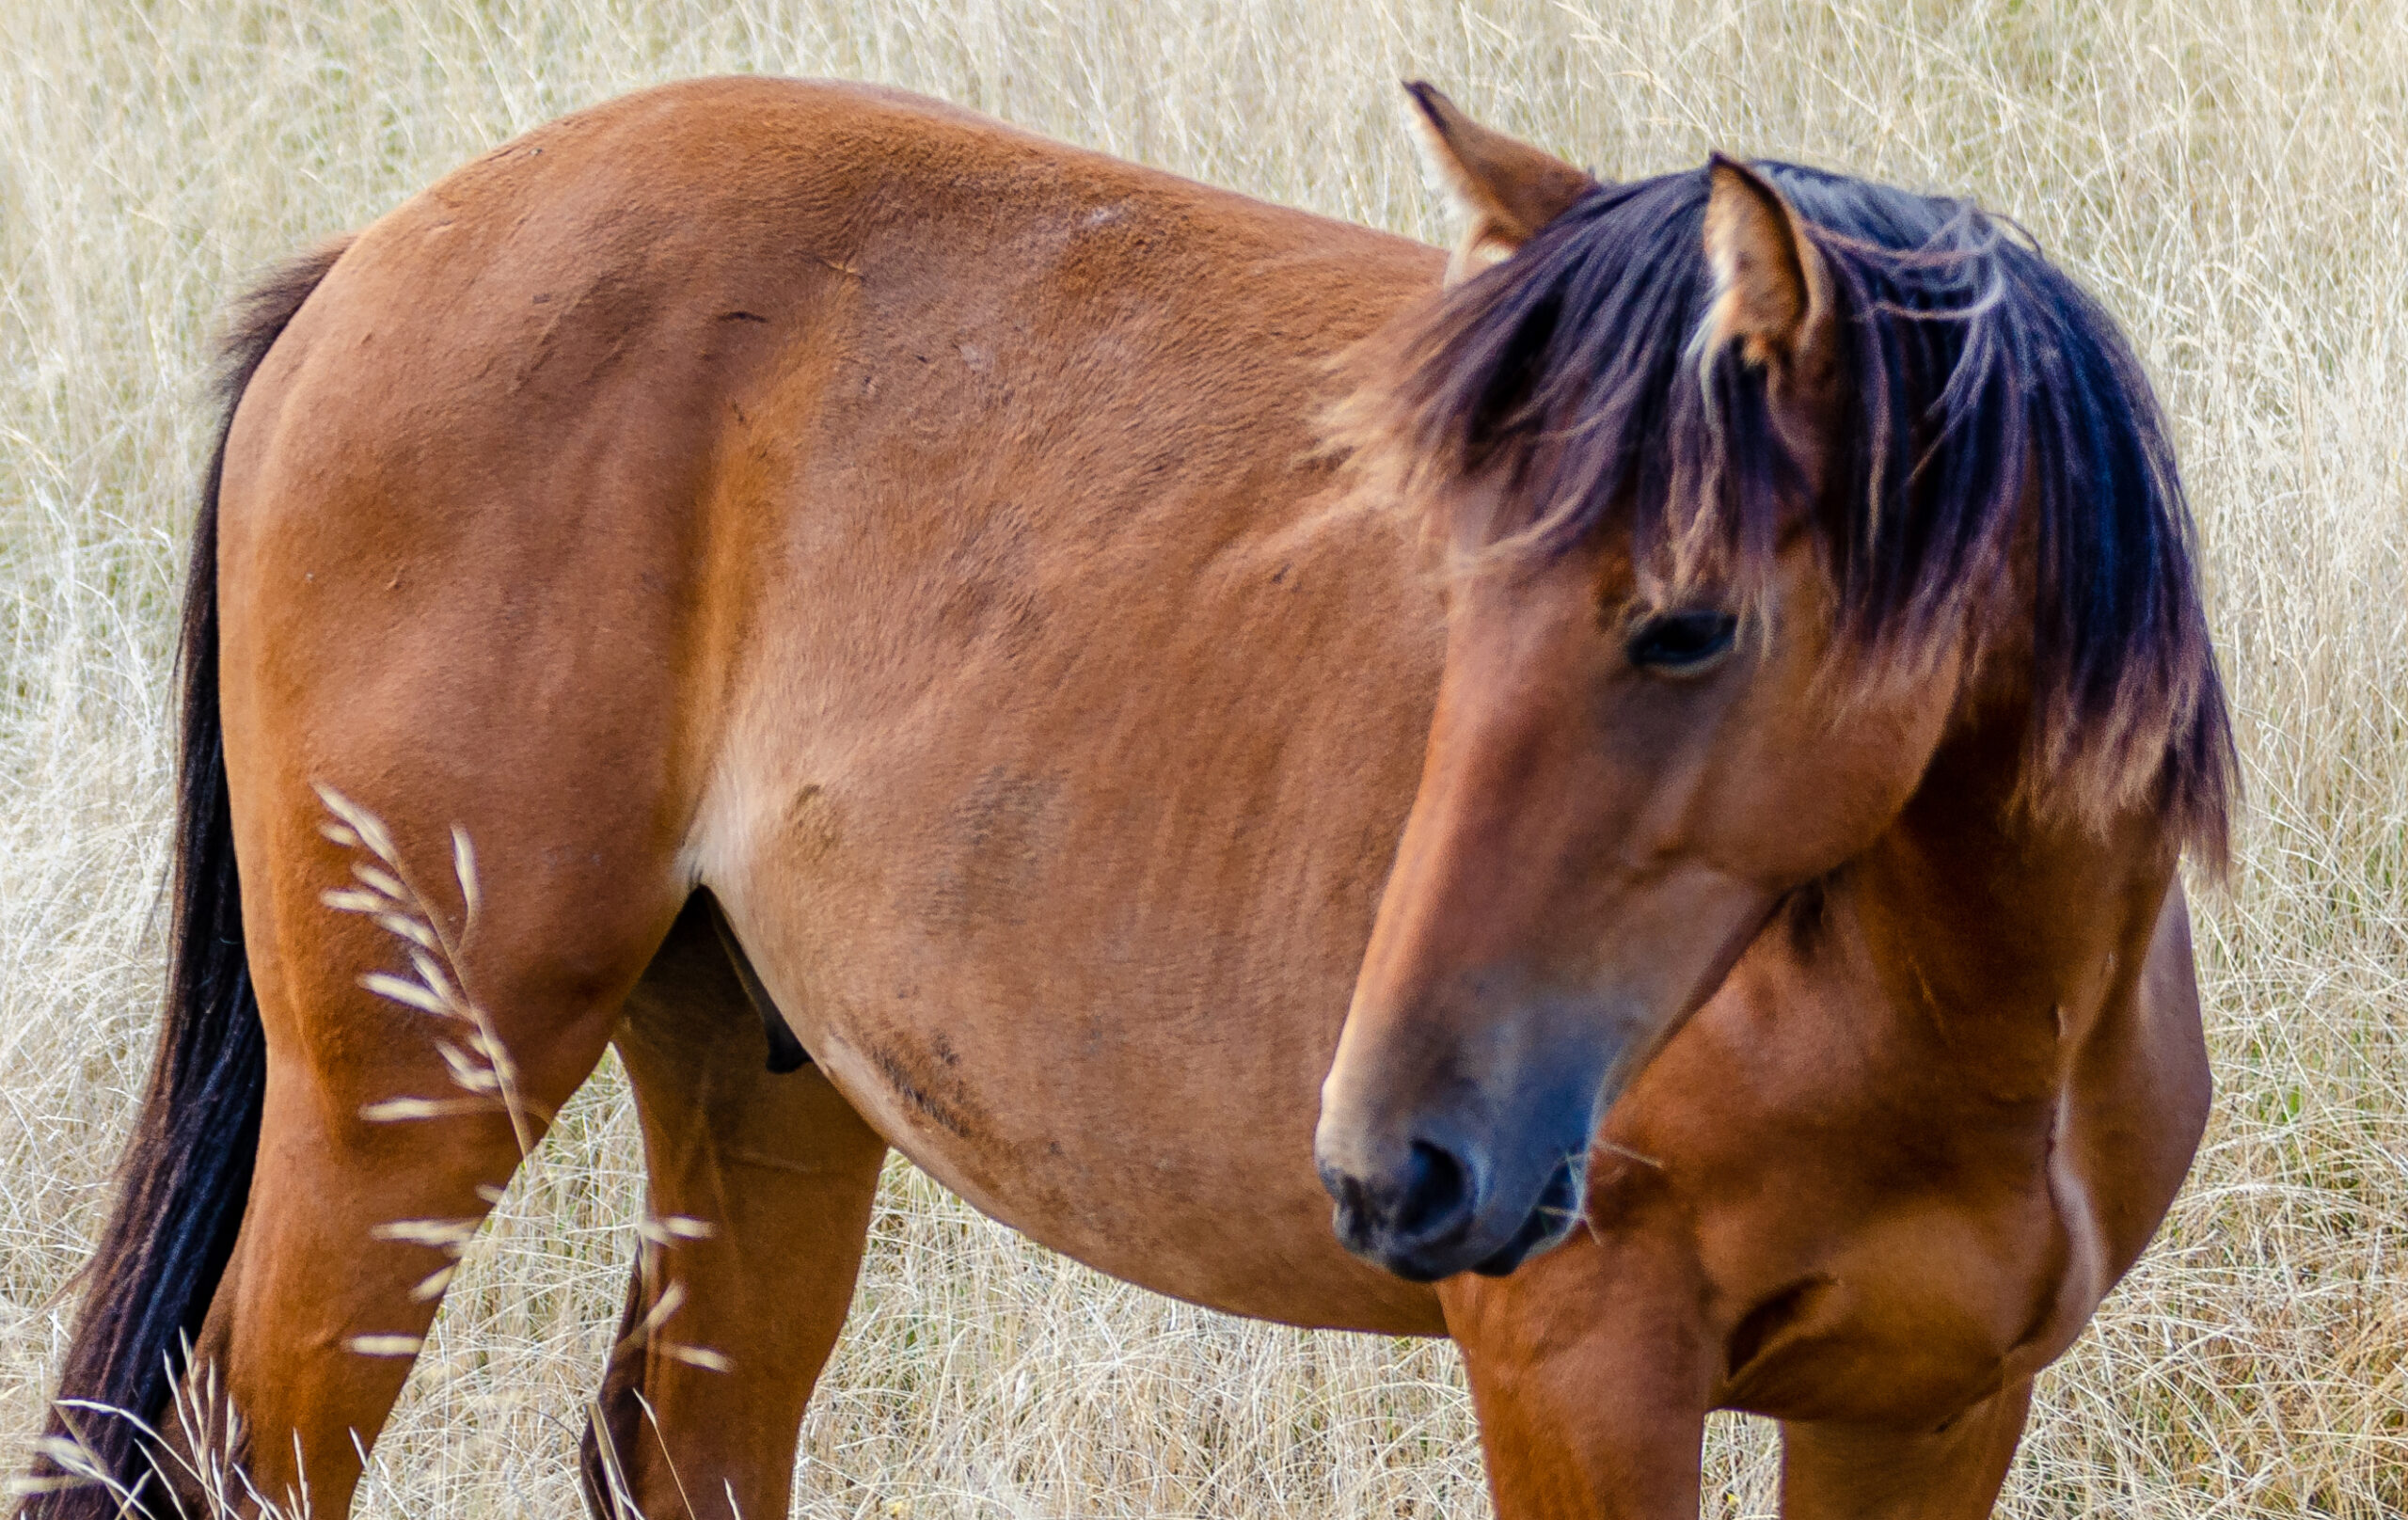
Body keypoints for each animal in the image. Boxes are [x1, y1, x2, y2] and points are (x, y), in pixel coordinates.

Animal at [22, 75, 2232, 1520]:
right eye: (1441, 589)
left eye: (1685, 628)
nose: (1391, 1159)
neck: (1965, 1021)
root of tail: (377, 256)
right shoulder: (1583, 1378)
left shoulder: (1930, 1409)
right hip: (407, 1097)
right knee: (240, 1454)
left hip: (761, 1081)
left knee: (684, 1448)